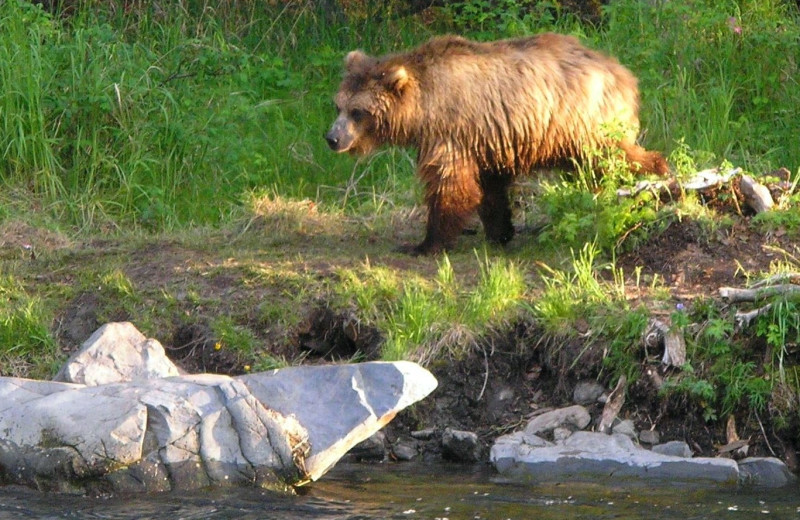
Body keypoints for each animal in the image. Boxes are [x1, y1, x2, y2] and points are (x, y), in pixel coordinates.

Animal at [324, 33, 668, 255]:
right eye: (338, 105)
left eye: (358, 111)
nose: (332, 138)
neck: (422, 110)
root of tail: (622, 72)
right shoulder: (488, 137)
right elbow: (489, 186)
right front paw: (499, 231)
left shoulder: (451, 133)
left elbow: (449, 184)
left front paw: (425, 243)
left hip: (584, 120)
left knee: (614, 156)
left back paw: (658, 171)